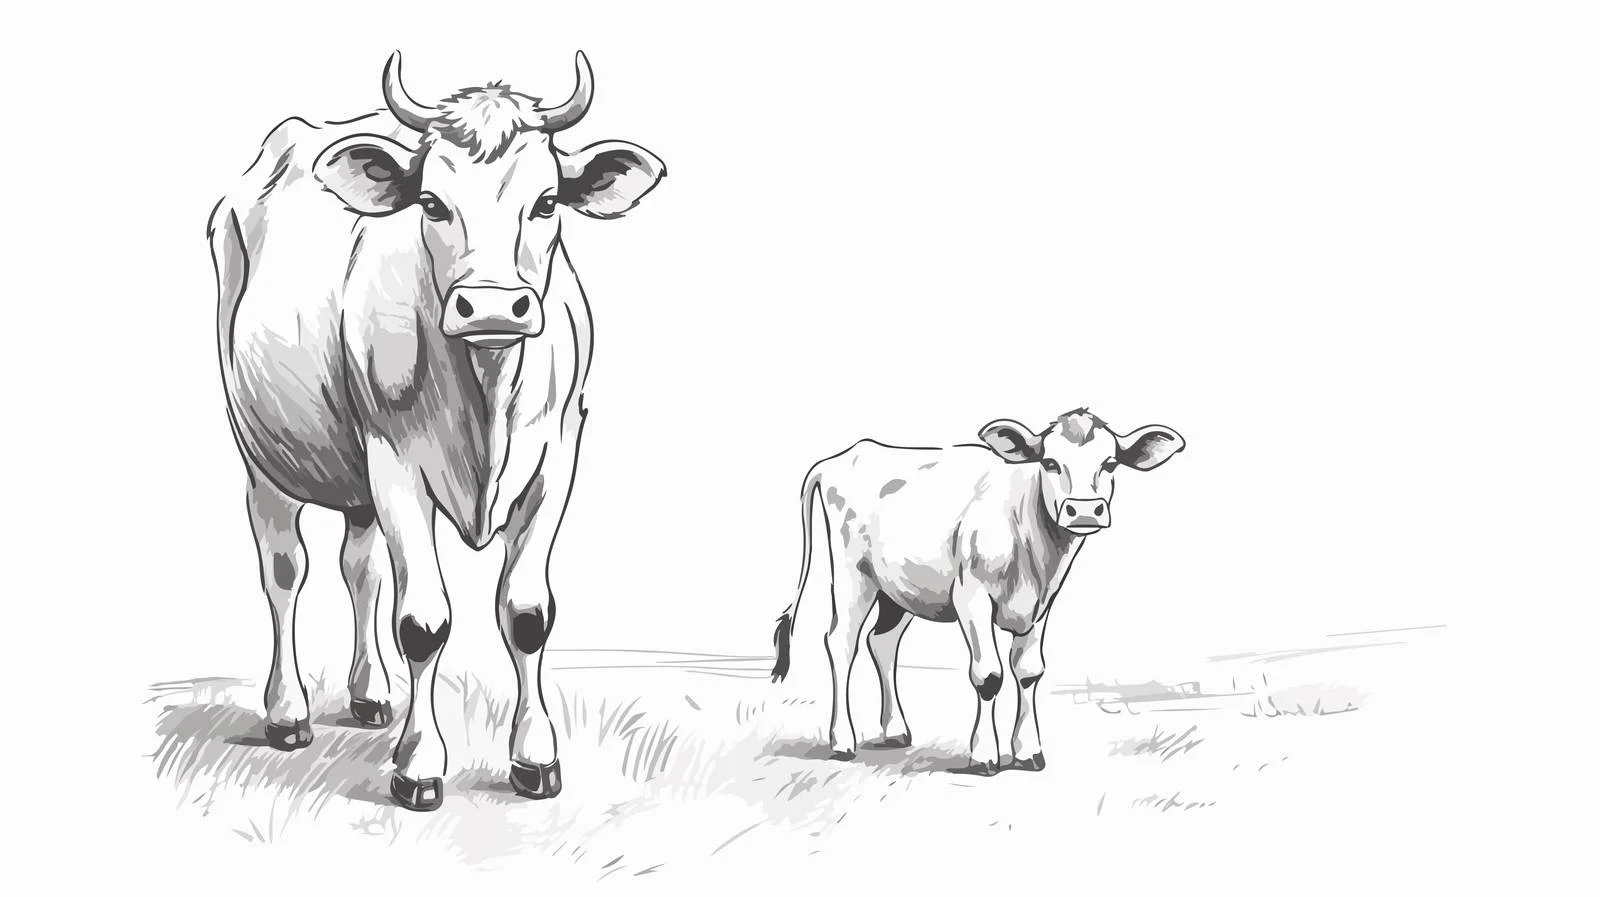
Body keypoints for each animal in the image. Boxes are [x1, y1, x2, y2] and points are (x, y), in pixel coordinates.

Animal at [209, 51, 665, 811]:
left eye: (547, 203)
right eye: (431, 202)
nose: (491, 305)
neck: (486, 392)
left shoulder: (555, 458)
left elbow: (526, 612)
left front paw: (535, 758)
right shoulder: (395, 463)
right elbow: (422, 622)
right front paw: (418, 766)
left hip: (355, 478)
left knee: (359, 569)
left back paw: (369, 696)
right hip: (261, 454)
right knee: (284, 571)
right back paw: (288, 713)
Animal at [770, 409, 1184, 774]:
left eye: (1110, 463)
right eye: (1049, 463)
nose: (1084, 511)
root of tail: (849, 453)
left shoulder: (1041, 605)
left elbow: (1029, 672)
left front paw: (1028, 752)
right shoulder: (971, 597)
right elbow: (989, 675)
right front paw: (984, 756)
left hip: (898, 589)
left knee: (882, 641)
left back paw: (895, 731)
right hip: (852, 575)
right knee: (841, 642)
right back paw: (843, 741)